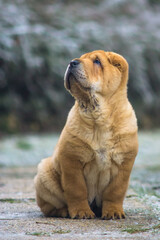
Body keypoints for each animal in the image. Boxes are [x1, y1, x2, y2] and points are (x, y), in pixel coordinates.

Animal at [34, 50, 138, 219]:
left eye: (97, 61)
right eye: (80, 58)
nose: (72, 62)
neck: (99, 115)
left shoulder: (124, 163)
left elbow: (115, 191)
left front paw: (113, 212)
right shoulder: (72, 159)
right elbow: (76, 189)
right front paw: (81, 212)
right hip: (44, 175)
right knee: (49, 207)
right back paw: (64, 211)